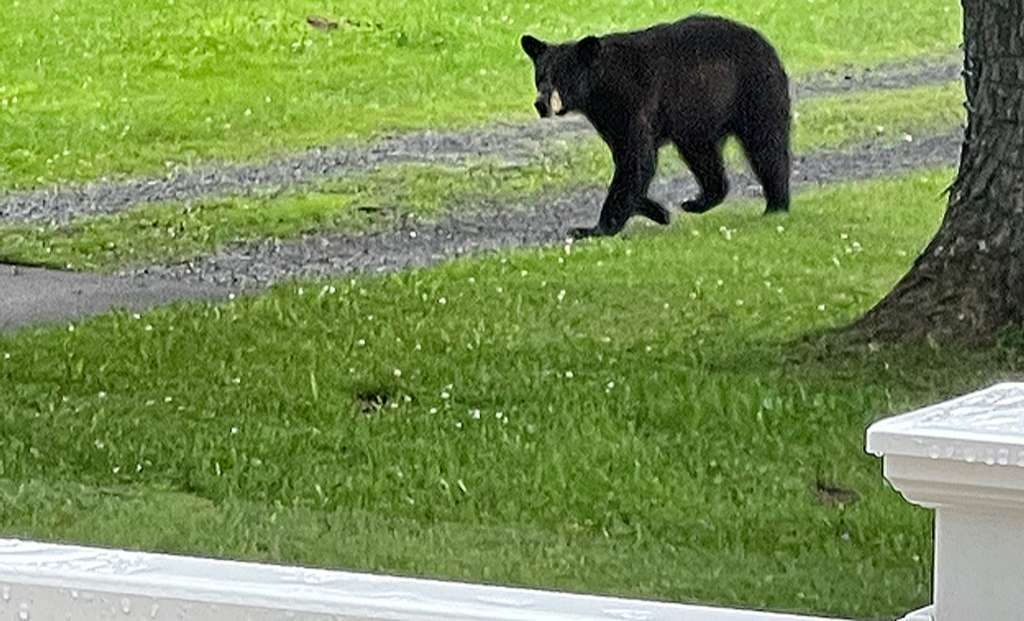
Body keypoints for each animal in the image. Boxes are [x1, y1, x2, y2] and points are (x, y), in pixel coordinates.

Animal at [520, 15, 790, 238]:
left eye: (561, 76)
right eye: (540, 76)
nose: (540, 104)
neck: (599, 87)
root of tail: (765, 41)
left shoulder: (632, 102)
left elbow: (635, 160)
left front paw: (592, 229)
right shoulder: (608, 119)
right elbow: (631, 164)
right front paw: (658, 211)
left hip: (755, 91)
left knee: (767, 147)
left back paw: (776, 206)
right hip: (696, 119)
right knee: (704, 157)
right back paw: (697, 201)